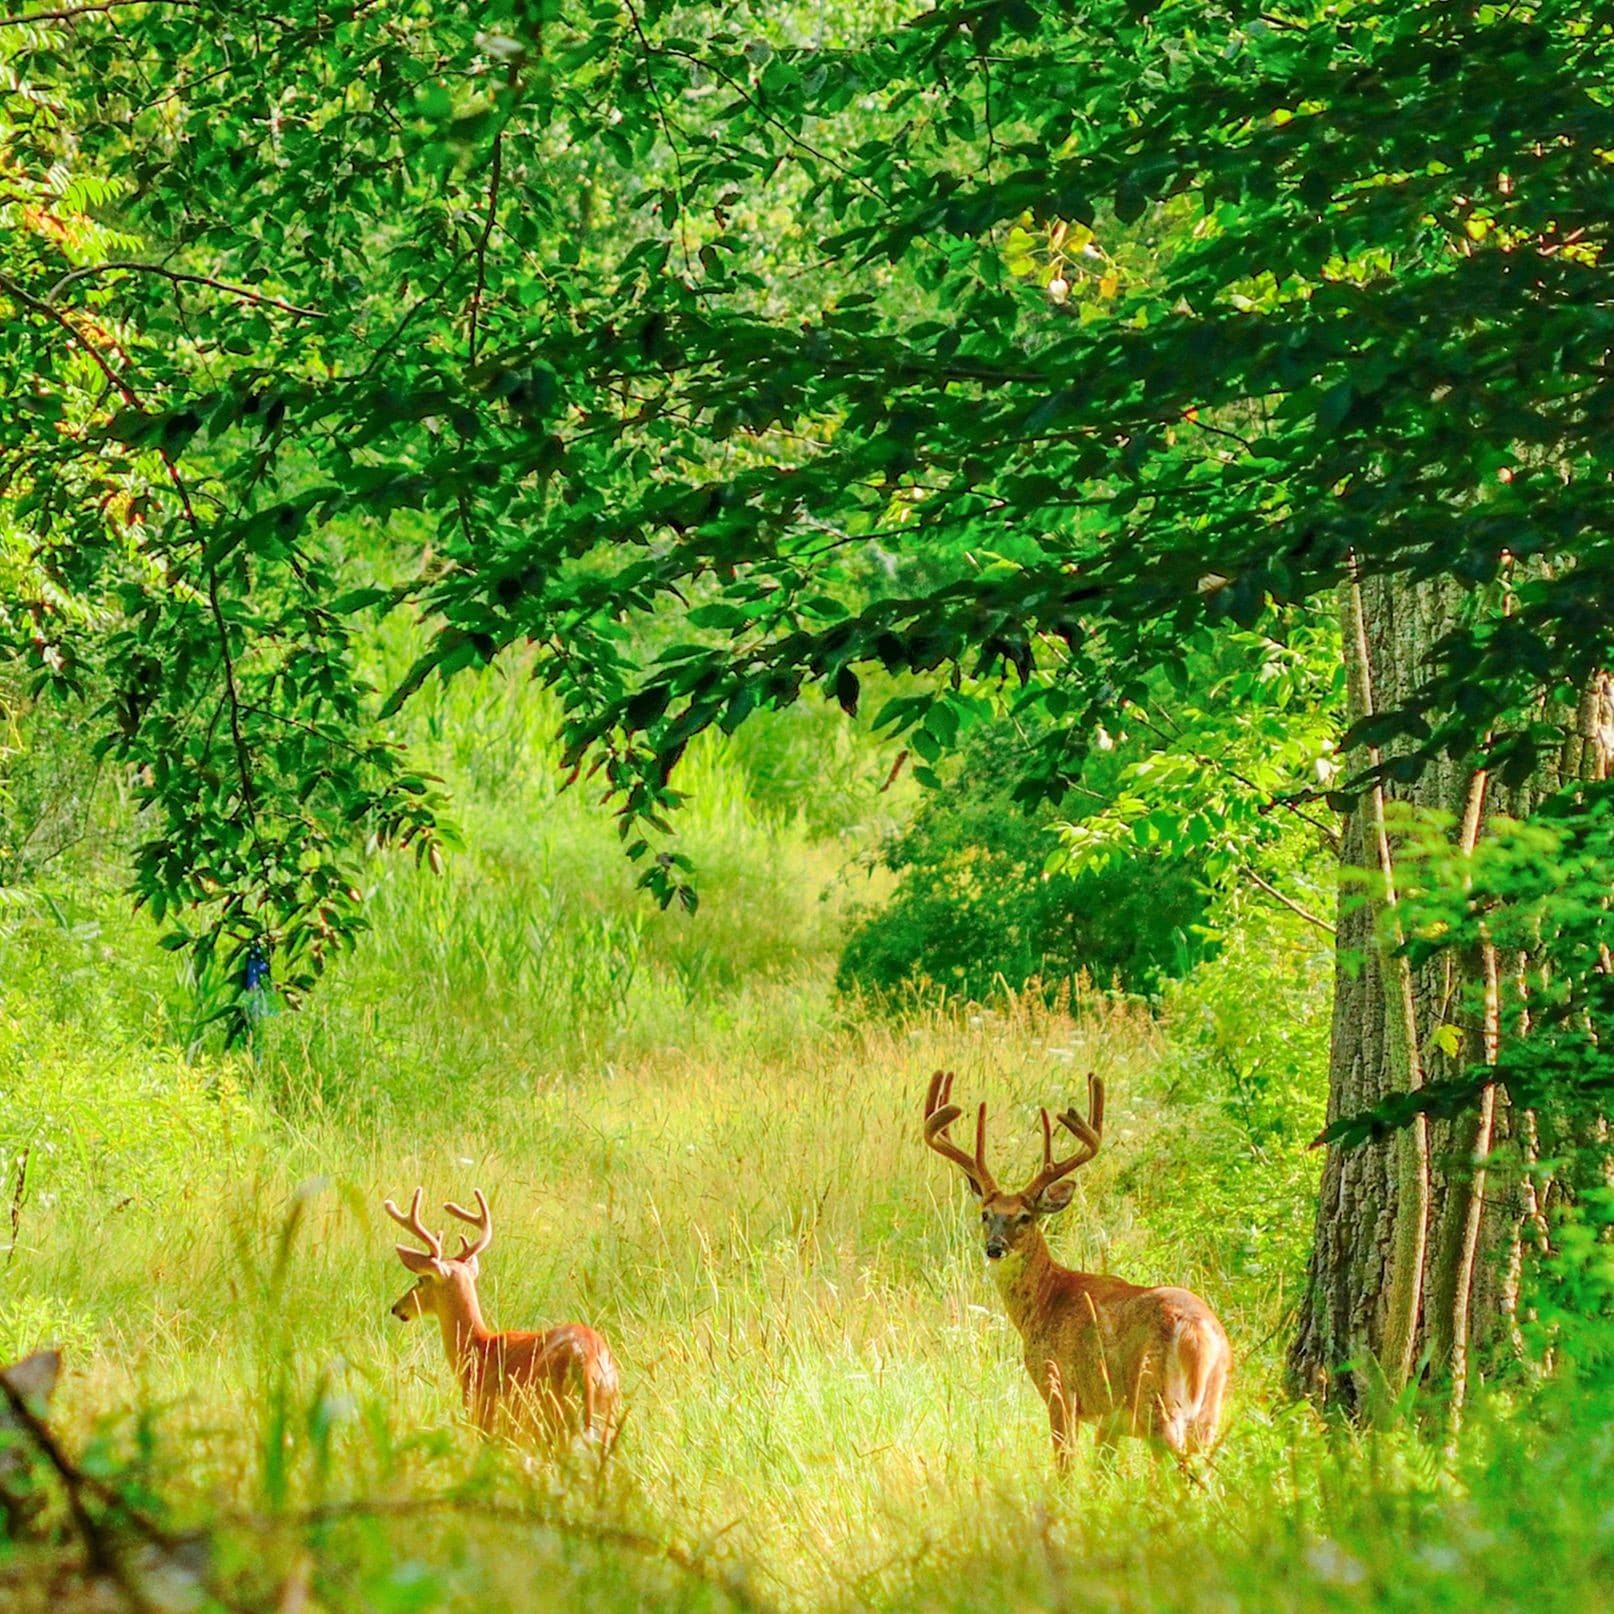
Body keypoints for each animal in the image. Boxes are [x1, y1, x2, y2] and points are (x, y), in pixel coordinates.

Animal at [384, 1187, 623, 1452]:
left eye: (421, 1280)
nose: (397, 1307)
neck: (478, 1347)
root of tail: (588, 1362)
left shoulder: (485, 1418)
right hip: (607, 1420)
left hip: (550, 1419)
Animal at [929, 1065, 1226, 1471]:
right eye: (985, 1214)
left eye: (1025, 1217)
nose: (995, 1248)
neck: (1045, 1302)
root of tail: (1198, 1332)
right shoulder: (1109, 1419)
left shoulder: (1058, 1384)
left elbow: (1065, 1465)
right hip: (1210, 1406)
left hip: (1159, 1402)